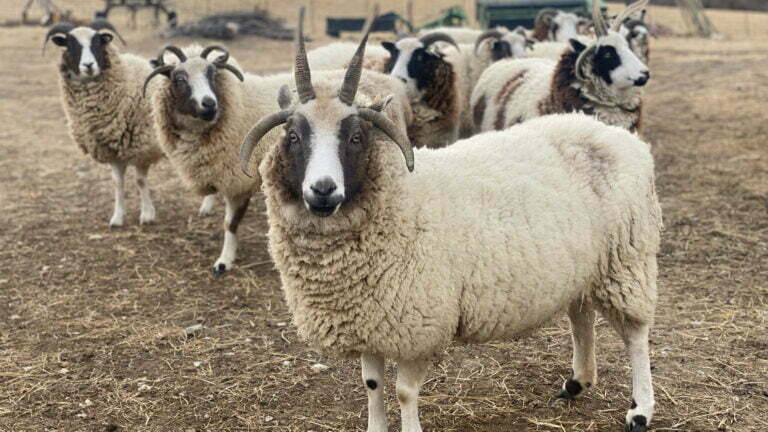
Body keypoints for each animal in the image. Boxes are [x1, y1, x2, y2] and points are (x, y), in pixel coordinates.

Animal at [45, 21, 175, 227]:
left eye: (98, 42)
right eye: (71, 45)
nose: (88, 65)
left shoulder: (141, 146)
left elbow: (140, 181)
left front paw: (147, 215)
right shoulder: (111, 147)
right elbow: (117, 182)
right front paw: (117, 217)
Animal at [240, 17, 662, 431]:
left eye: (356, 137)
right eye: (293, 137)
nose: (323, 189)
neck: (400, 197)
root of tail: (617, 135)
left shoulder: (417, 323)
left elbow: (404, 392)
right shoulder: (370, 320)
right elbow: (371, 383)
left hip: (627, 260)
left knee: (635, 334)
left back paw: (640, 409)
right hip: (585, 264)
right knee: (581, 316)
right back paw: (577, 381)